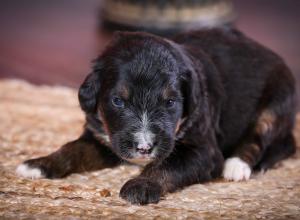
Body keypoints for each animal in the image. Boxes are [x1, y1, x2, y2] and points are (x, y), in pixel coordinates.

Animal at [15, 27, 296, 205]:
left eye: (170, 102)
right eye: (118, 101)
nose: (144, 147)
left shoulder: (202, 150)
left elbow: (167, 165)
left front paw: (141, 185)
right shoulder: (102, 137)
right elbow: (72, 149)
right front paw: (39, 164)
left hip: (277, 102)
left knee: (265, 138)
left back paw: (238, 165)